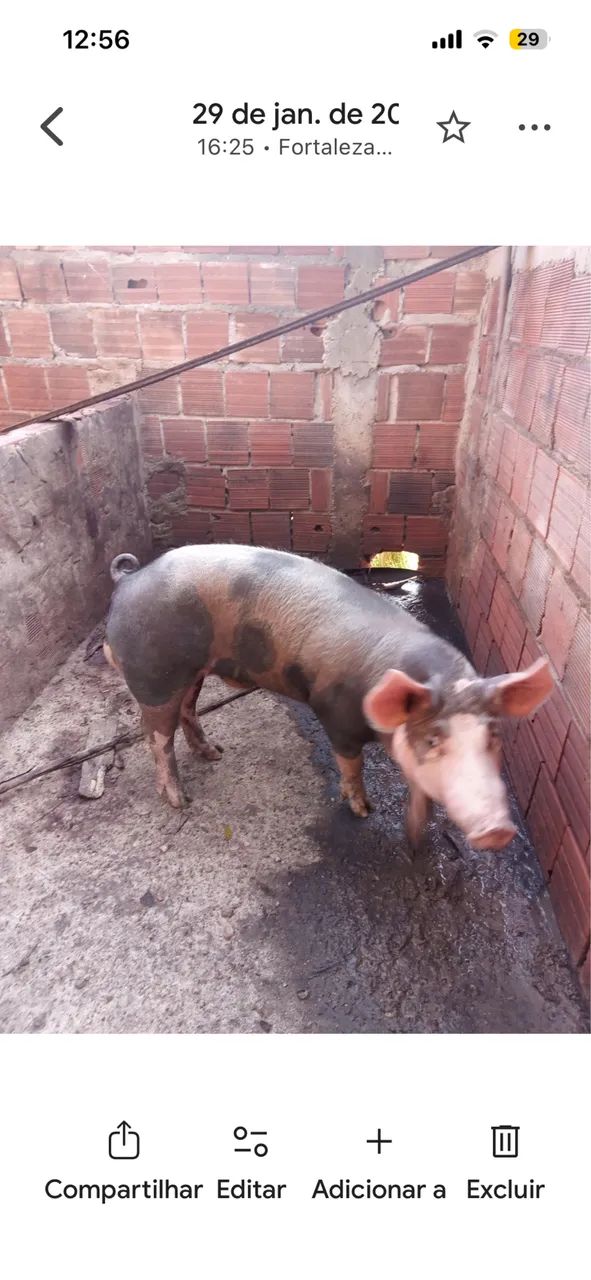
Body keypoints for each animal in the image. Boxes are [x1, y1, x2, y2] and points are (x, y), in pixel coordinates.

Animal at [104, 544, 554, 851]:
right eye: (433, 740)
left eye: (493, 738)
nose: (499, 830)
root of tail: (129, 580)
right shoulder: (337, 716)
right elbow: (351, 764)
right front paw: (364, 810)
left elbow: (420, 791)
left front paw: (416, 840)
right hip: (155, 674)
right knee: (156, 735)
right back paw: (180, 801)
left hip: (192, 671)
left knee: (187, 710)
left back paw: (215, 753)